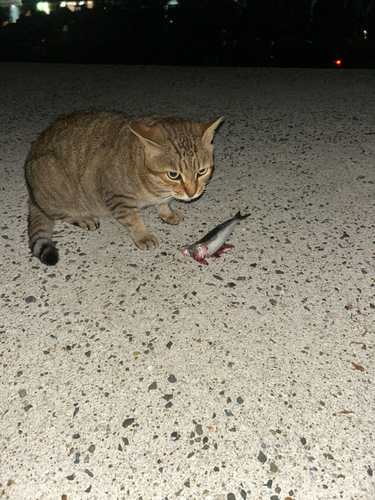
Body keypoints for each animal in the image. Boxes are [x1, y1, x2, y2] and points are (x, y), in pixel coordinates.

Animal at [24, 109, 223, 266]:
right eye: (173, 175)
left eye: (202, 171)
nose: (192, 193)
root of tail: (31, 194)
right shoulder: (117, 197)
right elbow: (133, 219)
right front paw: (142, 236)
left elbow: (163, 204)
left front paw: (167, 212)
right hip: (57, 189)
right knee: (61, 214)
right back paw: (83, 218)